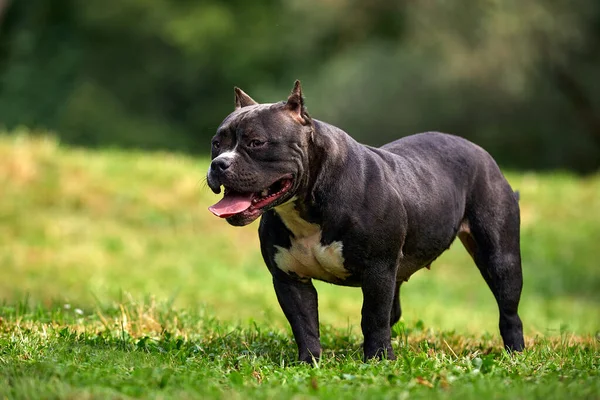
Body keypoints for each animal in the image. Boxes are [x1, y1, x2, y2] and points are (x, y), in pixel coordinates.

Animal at [207, 81, 524, 362]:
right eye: (216, 144)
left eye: (256, 143)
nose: (218, 164)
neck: (310, 202)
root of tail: (480, 152)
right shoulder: (289, 279)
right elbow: (304, 324)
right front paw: (309, 362)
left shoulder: (377, 271)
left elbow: (372, 317)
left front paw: (379, 360)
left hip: (500, 258)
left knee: (508, 310)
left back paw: (515, 354)